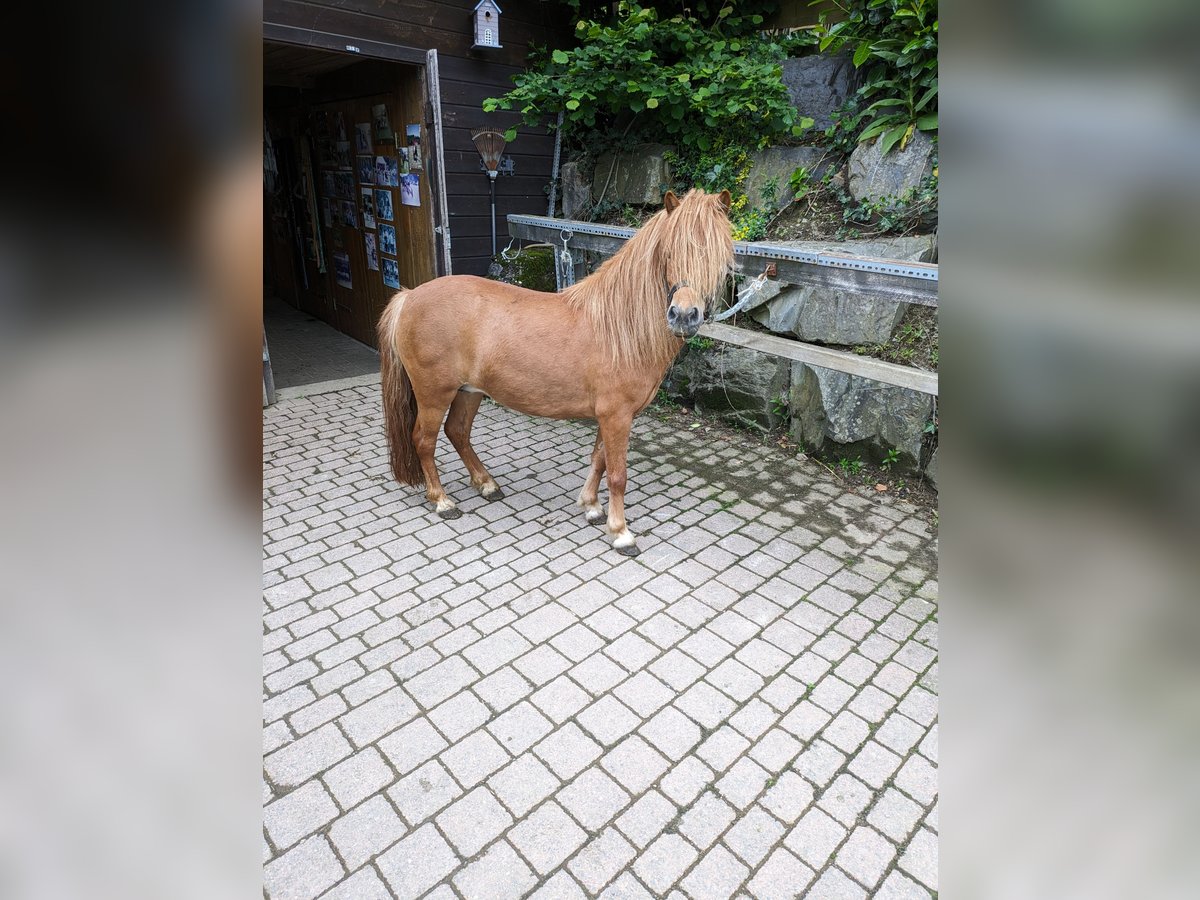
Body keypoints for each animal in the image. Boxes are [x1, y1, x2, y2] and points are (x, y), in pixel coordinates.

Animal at [376, 190, 729, 556]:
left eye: (718, 256)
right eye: (670, 252)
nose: (684, 316)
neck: (619, 328)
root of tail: (409, 297)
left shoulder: (610, 416)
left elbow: (599, 460)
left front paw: (591, 507)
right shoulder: (617, 416)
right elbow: (617, 473)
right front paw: (620, 532)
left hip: (469, 392)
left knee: (457, 432)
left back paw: (487, 484)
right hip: (434, 394)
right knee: (424, 440)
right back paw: (442, 501)